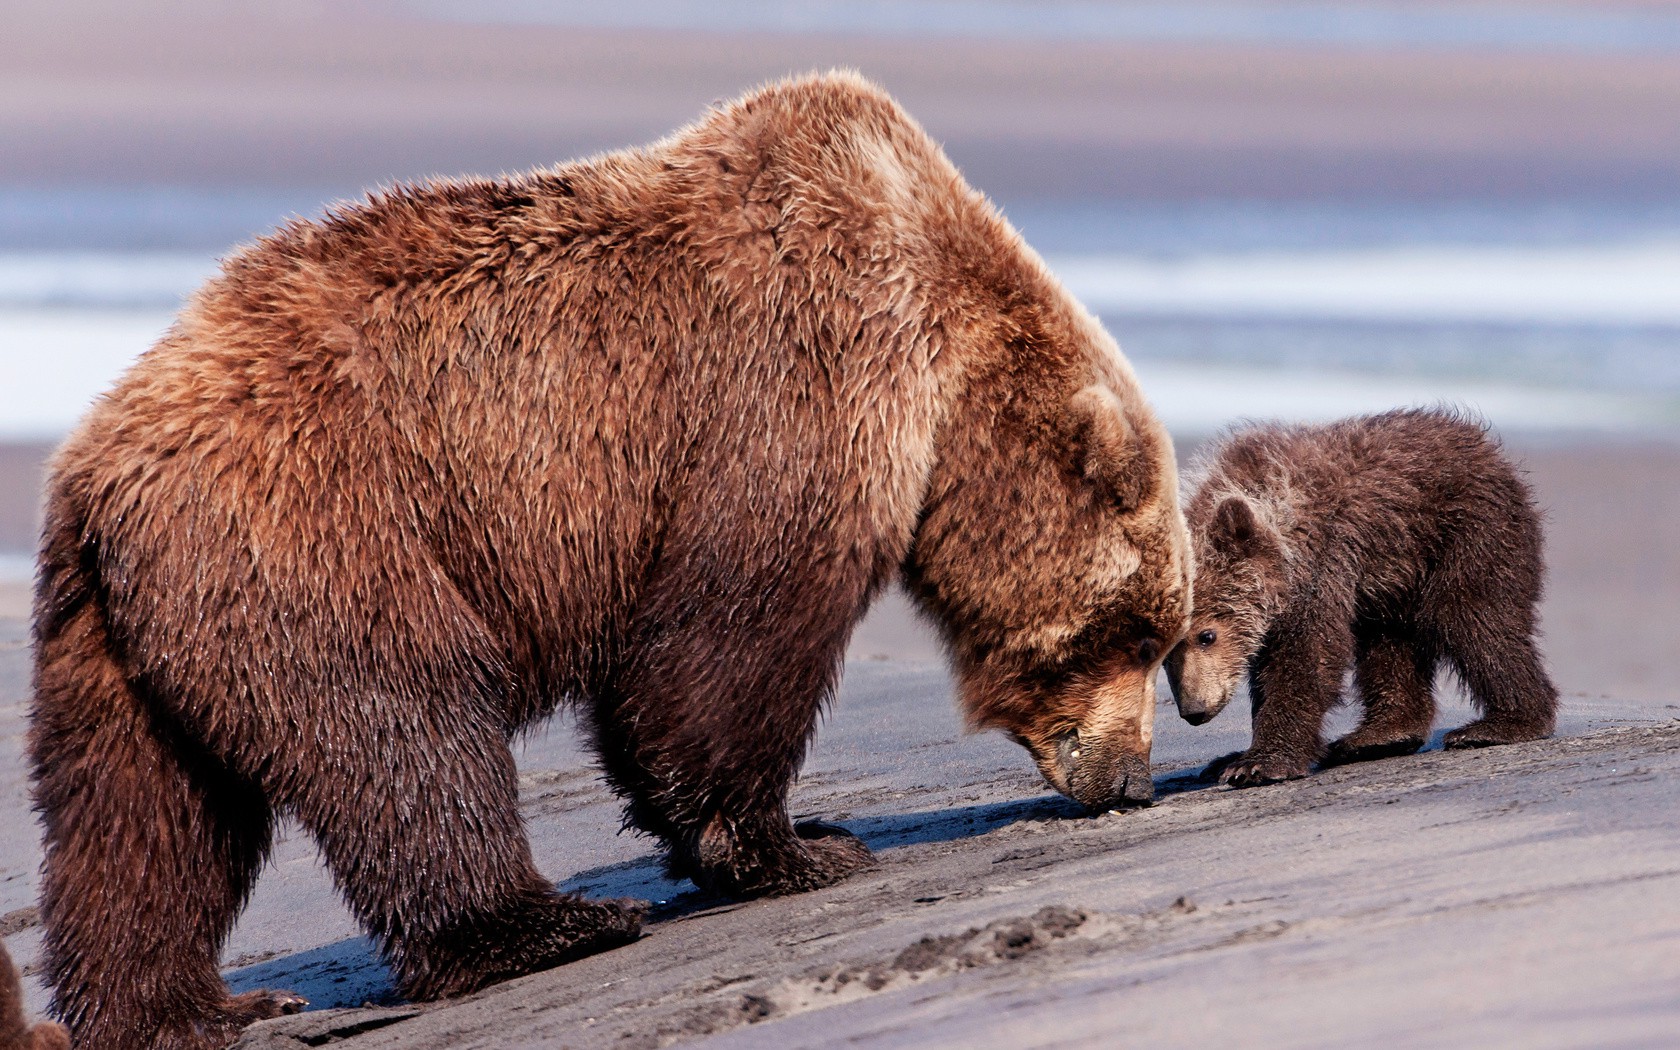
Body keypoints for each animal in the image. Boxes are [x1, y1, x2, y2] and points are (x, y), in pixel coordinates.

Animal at [29, 71, 1189, 1049]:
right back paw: (548, 923)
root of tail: (95, 465)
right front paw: (798, 845)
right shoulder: (796, 379)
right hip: (327, 523)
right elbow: (726, 637)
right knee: (406, 722)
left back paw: (194, 1006)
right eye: (1135, 632)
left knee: (143, 824)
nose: (1130, 779)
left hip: (123, 633)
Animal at [1164, 408, 1557, 788]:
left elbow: (1307, 655)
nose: (1194, 710)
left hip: (1467, 530)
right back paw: (1376, 735)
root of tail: (1483, 445)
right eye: (1166, 655)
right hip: (1395, 576)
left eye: (1207, 636)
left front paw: (1258, 763)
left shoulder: (1320, 562)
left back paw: (1502, 724)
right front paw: (1230, 758)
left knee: (1474, 619)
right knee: (1390, 644)